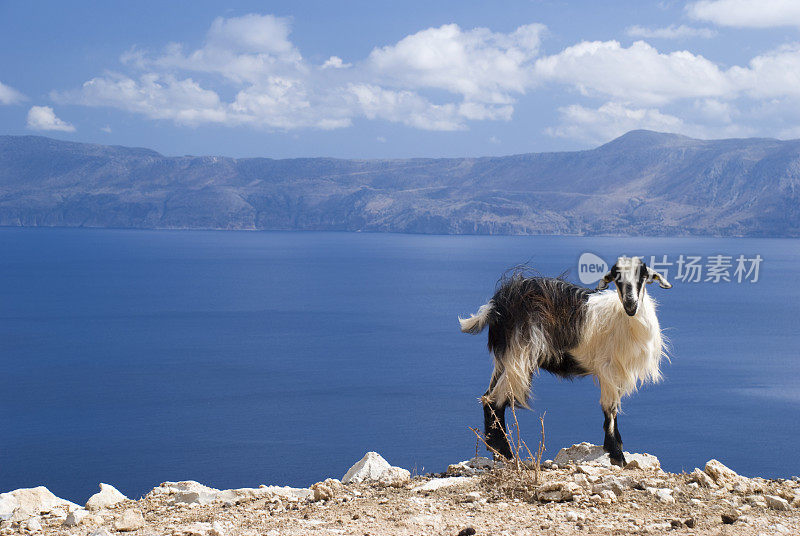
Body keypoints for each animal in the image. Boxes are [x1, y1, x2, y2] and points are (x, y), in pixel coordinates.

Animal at [460, 255, 672, 464]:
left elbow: (614, 409)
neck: (625, 320)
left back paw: (495, 450)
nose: (630, 303)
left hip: (504, 358)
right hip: (519, 355)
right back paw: (506, 454)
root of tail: (497, 304)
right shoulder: (607, 368)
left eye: (642, 276)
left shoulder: (619, 371)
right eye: (616, 278)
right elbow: (610, 409)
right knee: (495, 400)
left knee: (487, 396)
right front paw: (616, 454)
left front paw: (615, 446)